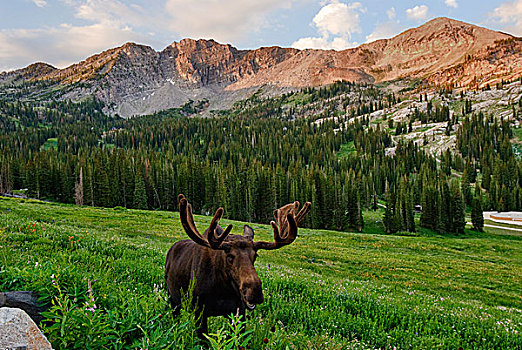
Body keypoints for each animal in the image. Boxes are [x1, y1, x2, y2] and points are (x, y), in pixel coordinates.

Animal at [166, 193, 308, 338]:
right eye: (229, 257)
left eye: (255, 256)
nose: (255, 292)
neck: (223, 291)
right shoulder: (199, 311)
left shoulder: (239, 312)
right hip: (172, 298)